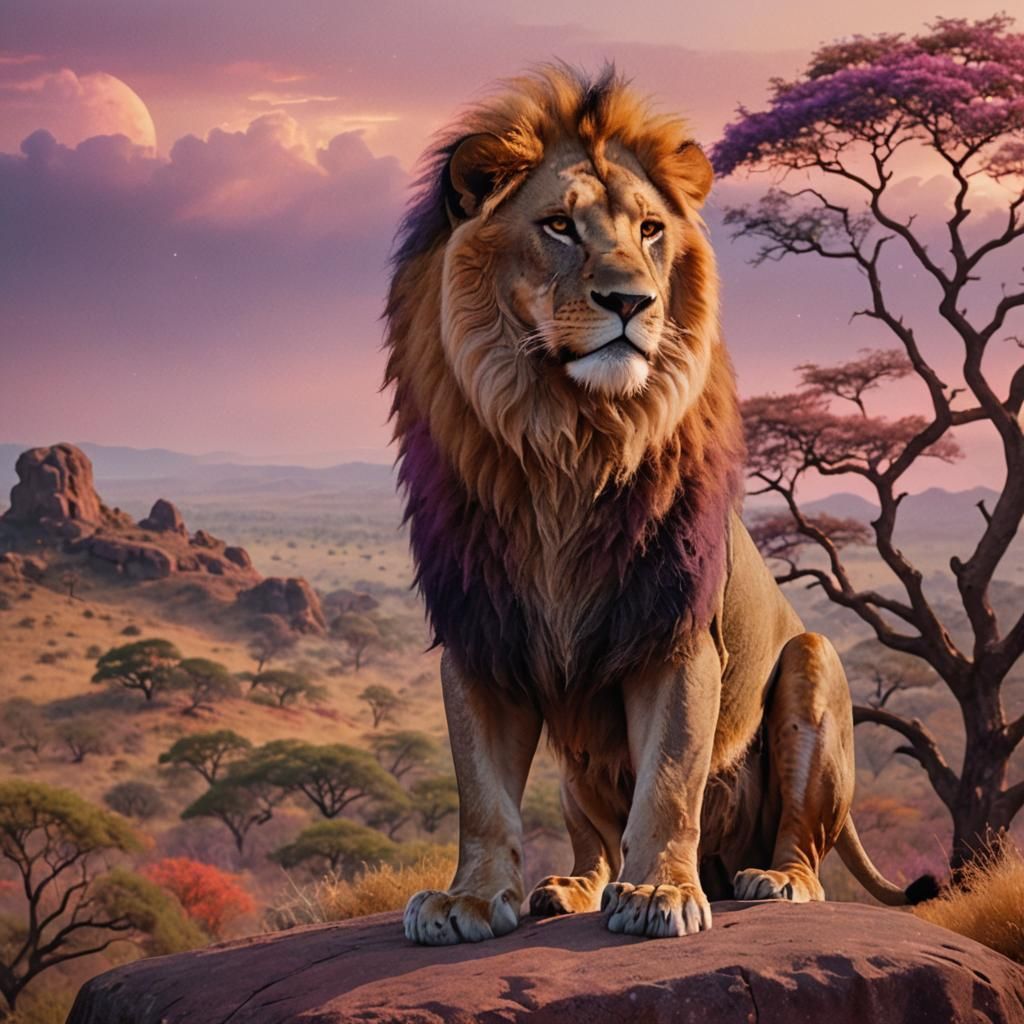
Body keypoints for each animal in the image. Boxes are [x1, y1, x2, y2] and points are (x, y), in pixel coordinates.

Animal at [383, 66, 936, 944]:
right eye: (558, 226)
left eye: (649, 230)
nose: (631, 302)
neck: (566, 441)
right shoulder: (479, 632)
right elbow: (482, 795)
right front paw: (468, 899)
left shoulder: (671, 628)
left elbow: (670, 777)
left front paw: (659, 893)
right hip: (576, 774)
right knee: (590, 839)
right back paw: (571, 886)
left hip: (812, 666)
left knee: (801, 844)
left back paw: (770, 879)